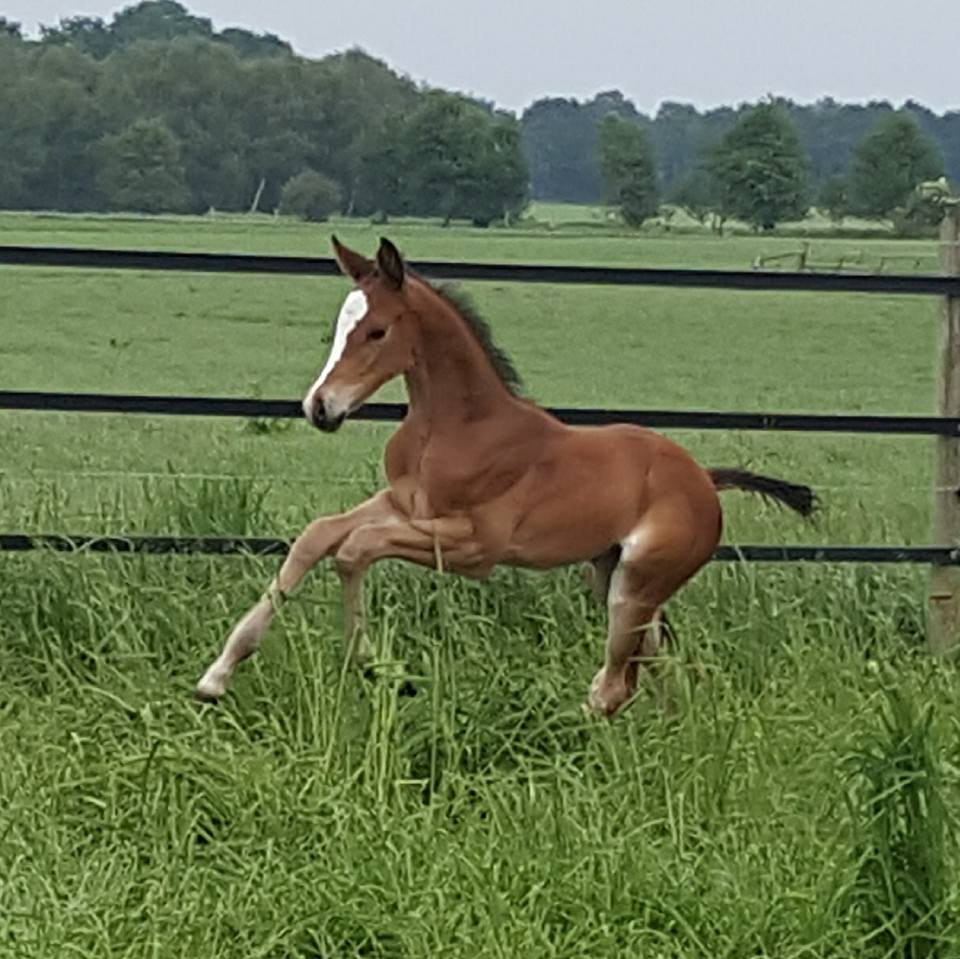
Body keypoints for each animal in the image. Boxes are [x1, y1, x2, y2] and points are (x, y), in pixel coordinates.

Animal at [199, 237, 812, 716]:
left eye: (376, 331)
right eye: (339, 328)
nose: (319, 407)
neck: (454, 428)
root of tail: (705, 480)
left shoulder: (474, 546)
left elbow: (356, 548)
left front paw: (376, 666)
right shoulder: (405, 505)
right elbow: (319, 535)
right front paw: (217, 675)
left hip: (637, 585)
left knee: (615, 687)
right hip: (613, 575)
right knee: (658, 671)